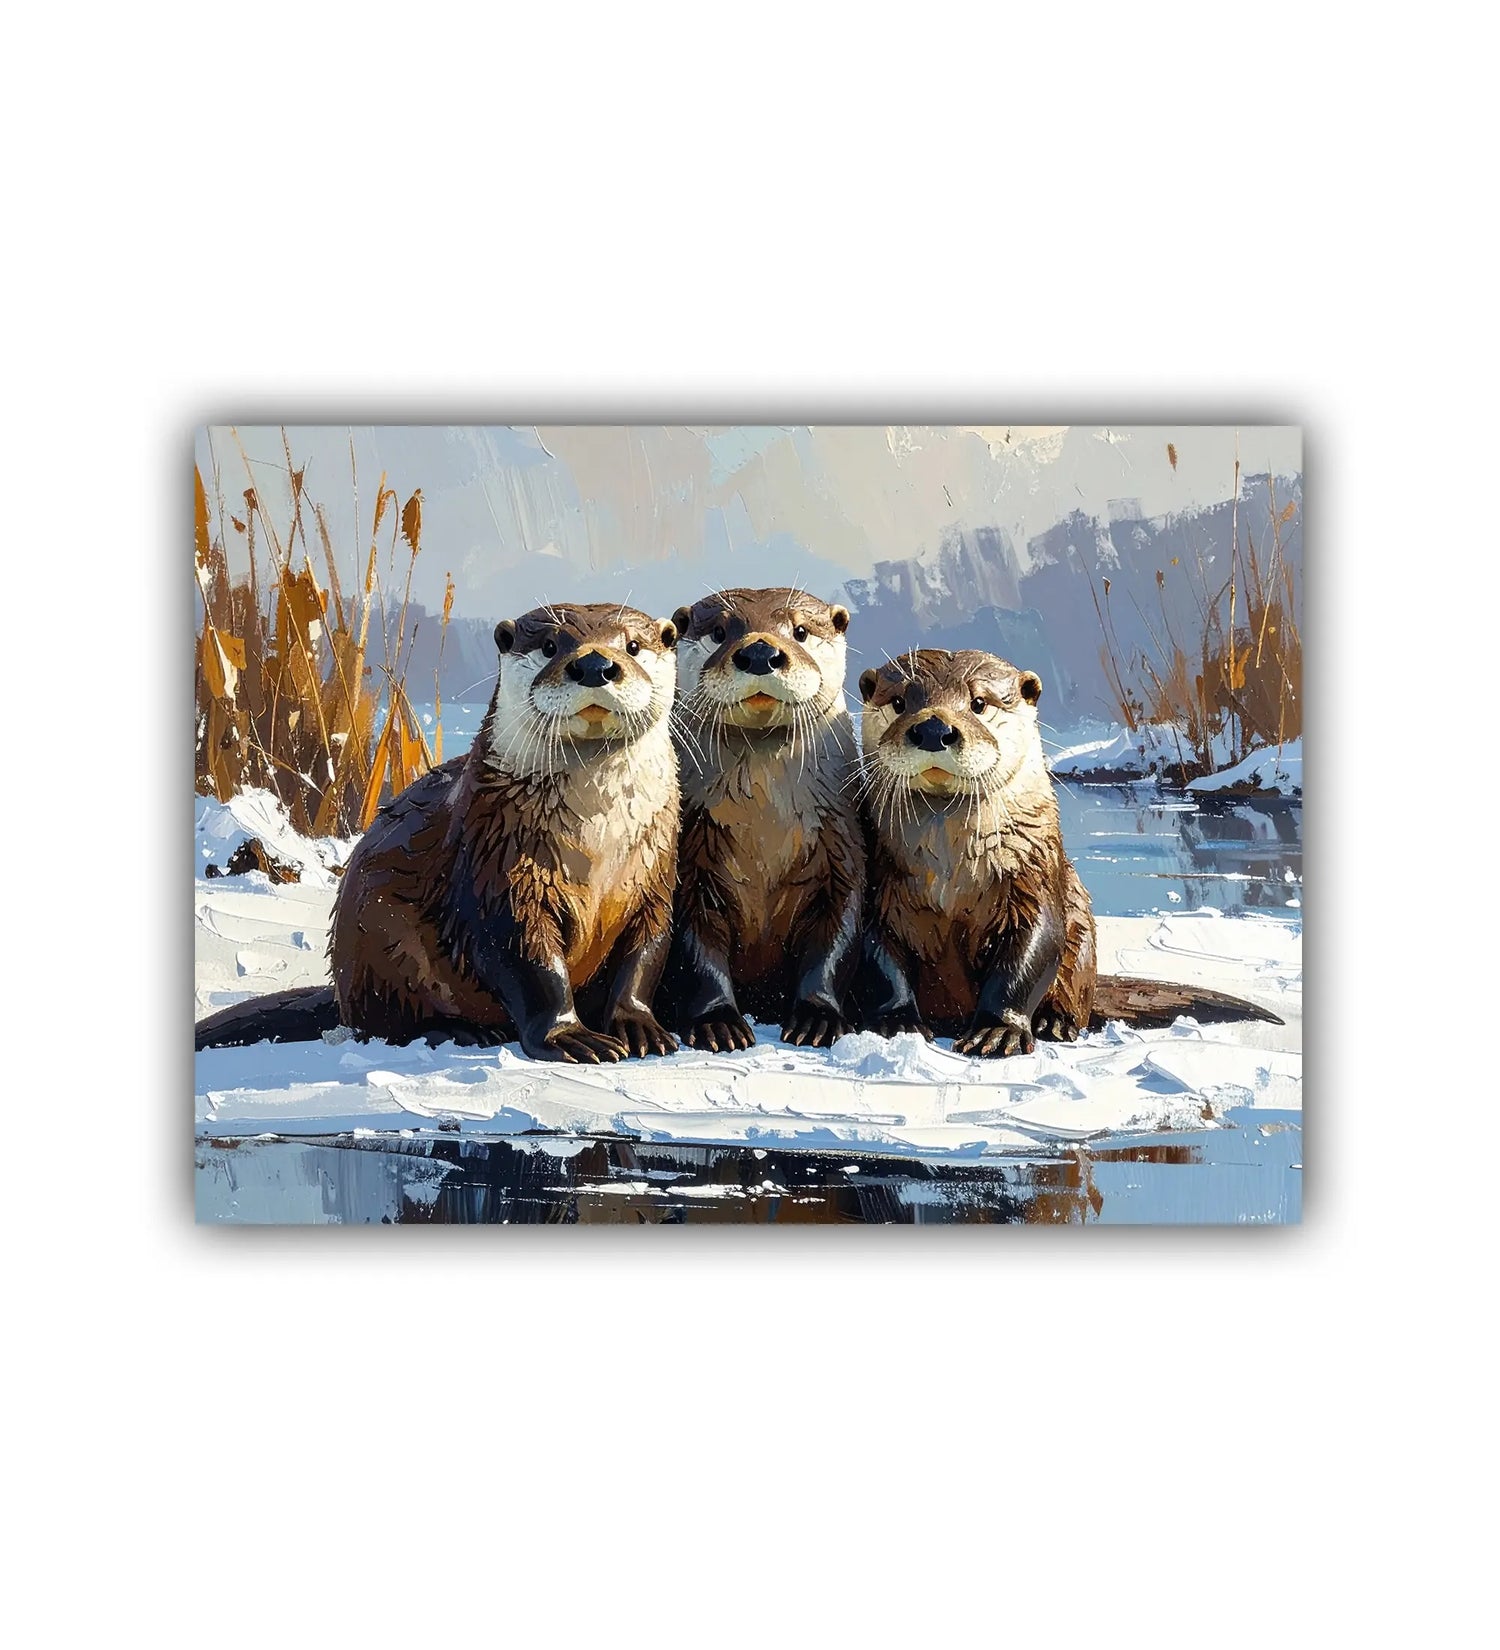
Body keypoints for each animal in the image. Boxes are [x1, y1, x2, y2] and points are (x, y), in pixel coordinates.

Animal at [195, 603, 682, 1063]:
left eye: (634, 646)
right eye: (549, 646)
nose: (595, 665)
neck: (596, 841)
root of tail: (341, 992)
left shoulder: (654, 876)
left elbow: (646, 954)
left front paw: (640, 1026)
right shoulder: (497, 868)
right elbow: (529, 960)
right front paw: (569, 1036)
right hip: (381, 939)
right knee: (390, 1020)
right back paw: (462, 1030)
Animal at [662, 587, 865, 1051]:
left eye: (801, 631)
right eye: (720, 631)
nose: (759, 652)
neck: (765, 824)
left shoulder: (842, 845)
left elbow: (835, 939)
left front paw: (817, 1019)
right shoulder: (690, 854)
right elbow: (695, 950)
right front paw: (718, 1023)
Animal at [856, 648, 1280, 1055]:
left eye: (979, 702)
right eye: (899, 701)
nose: (933, 728)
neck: (948, 871)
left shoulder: (1033, 876)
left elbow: (1031, 951)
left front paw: (998, 1030)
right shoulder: (879, 884)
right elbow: (879, 958)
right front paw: (896, 1021)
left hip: (1082, 935)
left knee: (1074, 986)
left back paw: (1055, 1023)